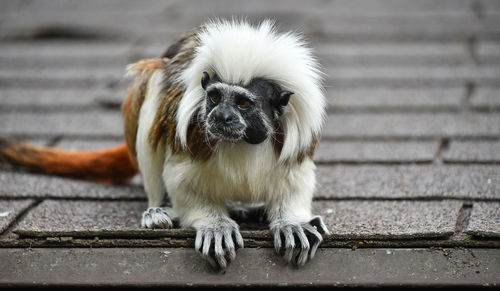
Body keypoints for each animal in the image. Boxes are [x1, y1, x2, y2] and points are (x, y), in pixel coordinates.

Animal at [0, 19, 328, 270]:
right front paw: (214, 226)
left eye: (244, 104)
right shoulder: (191, 136)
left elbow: (295, 182)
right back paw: (159, 211)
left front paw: (292, 223)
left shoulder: (291, 143)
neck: (240, 143)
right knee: (155, 84)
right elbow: (182, 181)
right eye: (214, 98)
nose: (220, 116)